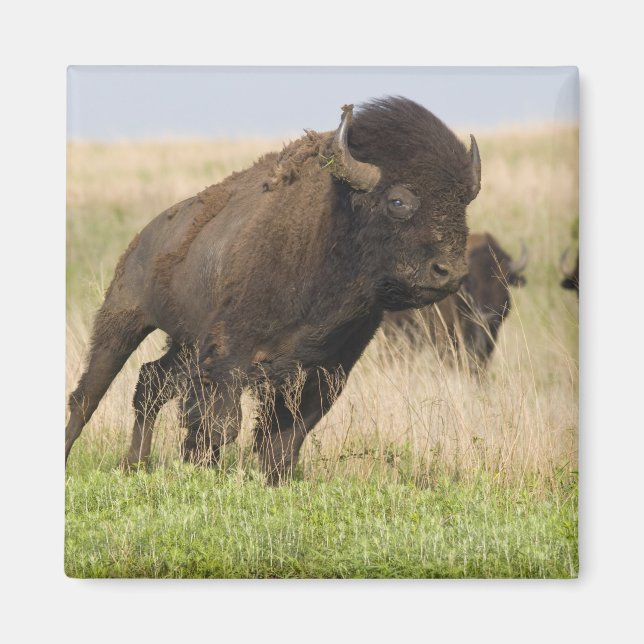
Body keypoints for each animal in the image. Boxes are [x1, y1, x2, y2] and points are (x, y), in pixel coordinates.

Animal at [65, 97, 481, 484]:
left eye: (462, 203)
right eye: (398, 200)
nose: (450, 271)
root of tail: (144, 237)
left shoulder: (325, 373)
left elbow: (284, 439)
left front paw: (269, 480)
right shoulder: (228, 356)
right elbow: (220, 426)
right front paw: (204, 471)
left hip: (183, 345)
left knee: (150, 383)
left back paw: (134, 464)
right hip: (123, 318)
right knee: (88, 394)